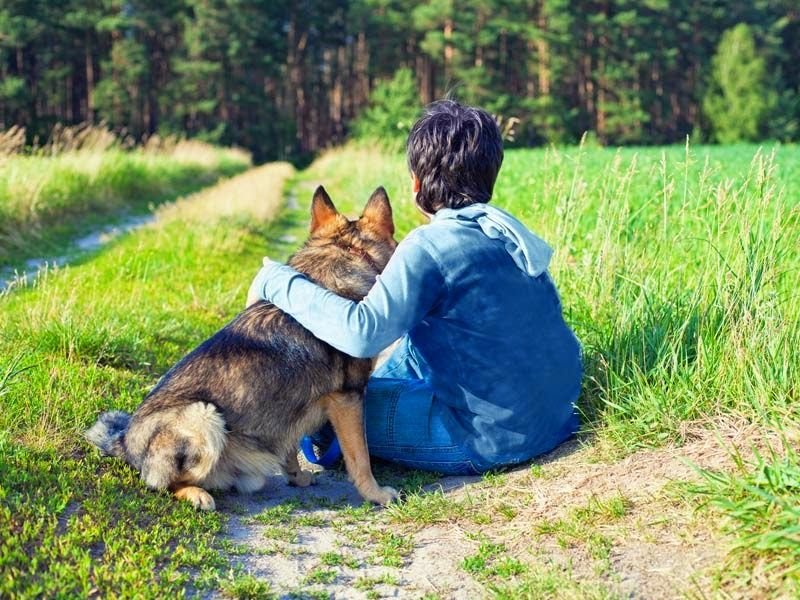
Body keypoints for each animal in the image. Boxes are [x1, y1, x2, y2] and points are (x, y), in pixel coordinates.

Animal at [86, 186, 398, 510]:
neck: (342, 254)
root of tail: (124, 442)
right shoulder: (348, 399)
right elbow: (360, 457)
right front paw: (376, 494)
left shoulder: (294, 410)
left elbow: (290, 448)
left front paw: (297, 477)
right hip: (204, 415)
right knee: (163, 483)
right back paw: (196, 494)